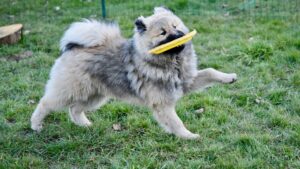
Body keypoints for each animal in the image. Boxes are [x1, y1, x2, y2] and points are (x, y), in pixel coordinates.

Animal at [30, 6, 237, 139]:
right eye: (162, 33)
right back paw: (35, 125)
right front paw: (188, 136)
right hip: (69, 91)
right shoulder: (162, 103)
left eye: (176, 26)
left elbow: (210, 72)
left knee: (75, 109)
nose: (179, 36)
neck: (172, 63)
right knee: (46, 103)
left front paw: (229, 78)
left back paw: (85, 125)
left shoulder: (187, 82)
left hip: (94, 96)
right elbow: (176, 122)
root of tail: (74, 47)